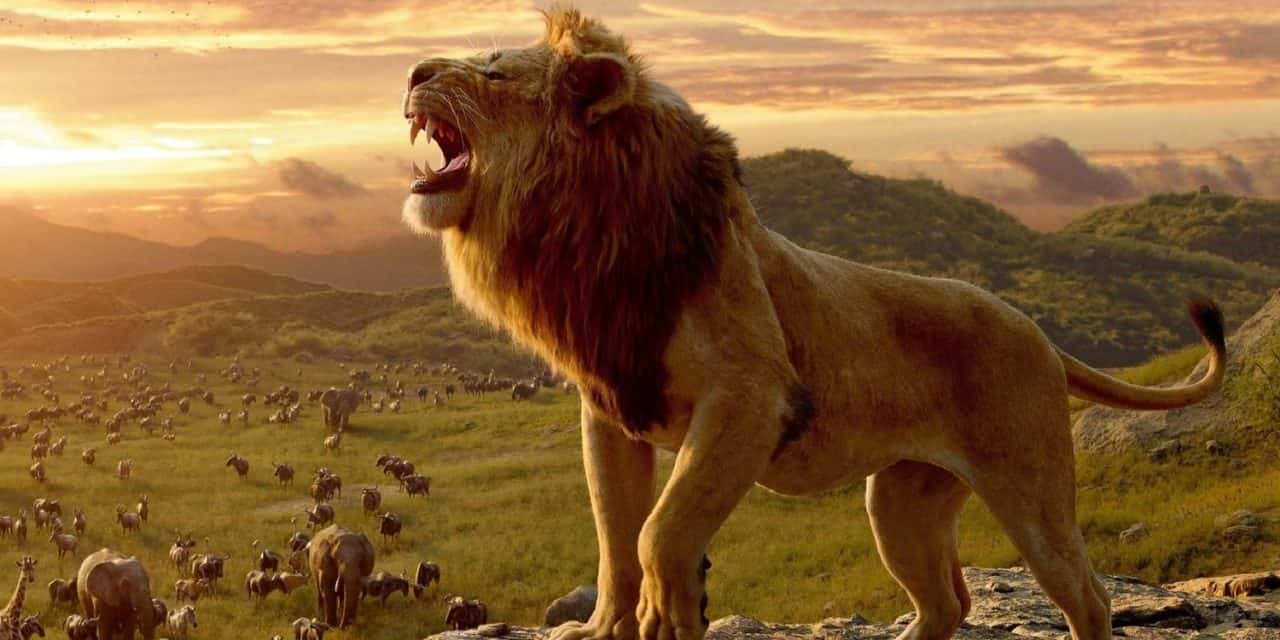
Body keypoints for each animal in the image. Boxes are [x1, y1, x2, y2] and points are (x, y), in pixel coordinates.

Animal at [399, 8, 1226, 640]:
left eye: (494, 73)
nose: (411, 73)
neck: (586, 237)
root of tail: (1041, 333)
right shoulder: (609, 408)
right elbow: (614, 538)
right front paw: (605, 626)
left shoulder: (751, 397)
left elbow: (660, 531)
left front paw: (668, 614)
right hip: (900, 503)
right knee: (946, 602)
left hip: (1031, 490)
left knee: (1086, 594)